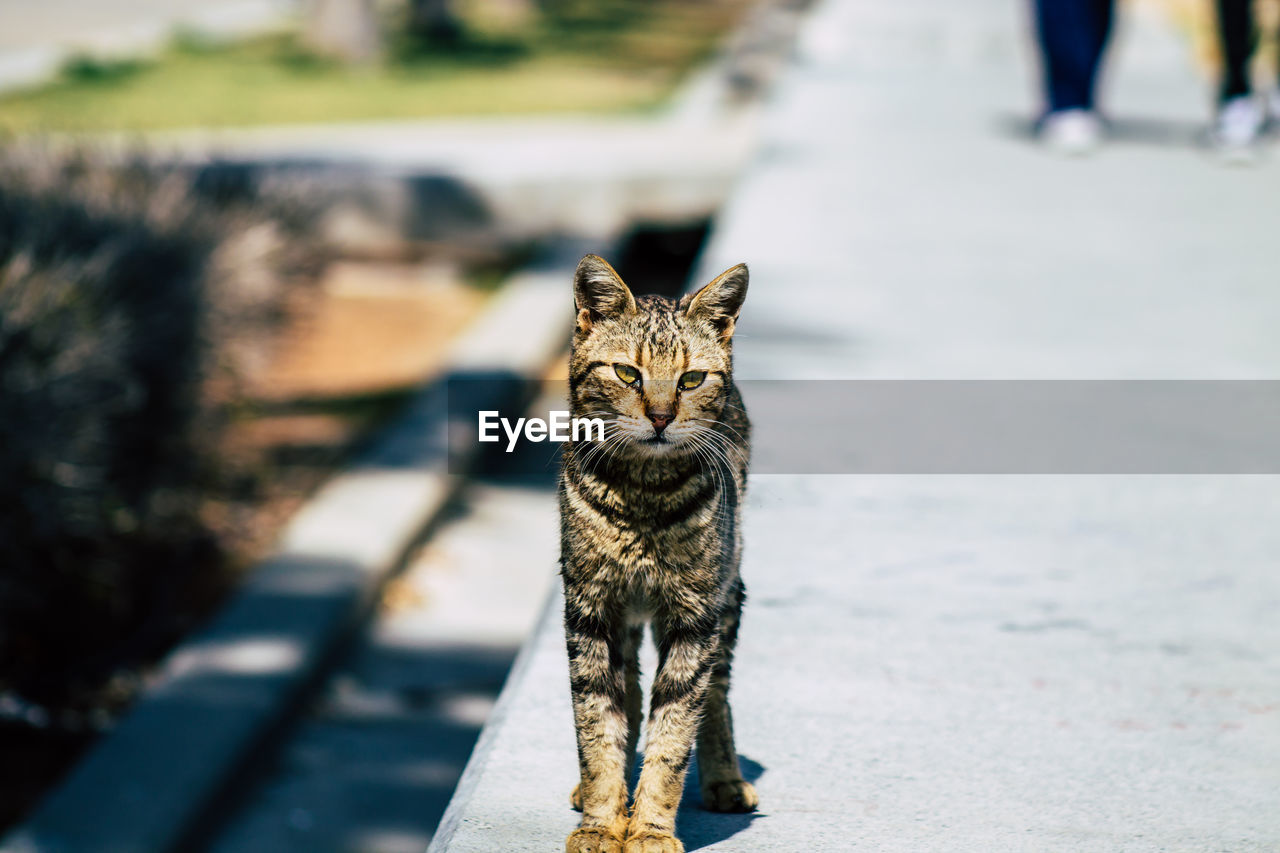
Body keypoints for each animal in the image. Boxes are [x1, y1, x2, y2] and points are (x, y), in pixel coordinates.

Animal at [558, 253, 747, 850]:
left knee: (716, 692)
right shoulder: (589, 609)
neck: (644, 493)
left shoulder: (694, 617)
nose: (661, 417)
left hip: (728, 594)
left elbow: (674, 731)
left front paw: (650, 828)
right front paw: (603, 821)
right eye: (627, 374)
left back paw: (725, 779)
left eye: (691, 379)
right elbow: (597, 724)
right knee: (630, 689)